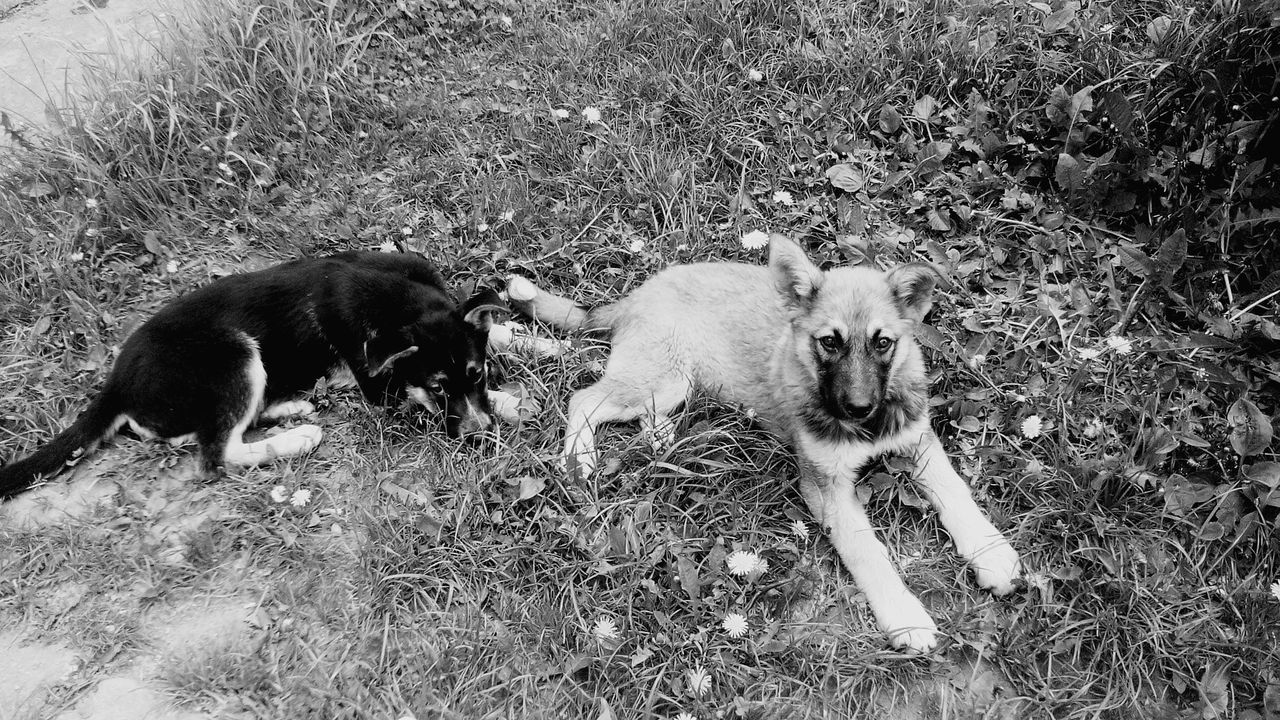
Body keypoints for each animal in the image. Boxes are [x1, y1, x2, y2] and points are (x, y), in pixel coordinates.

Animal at [0, 249, 506, 497]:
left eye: (478, 375)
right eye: (438, 389)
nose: (481, 437)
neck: (396, 300)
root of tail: (115, 383)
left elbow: (500, 330)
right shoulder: (379, 384)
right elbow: (409, 393)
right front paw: (510, 402)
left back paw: (291, 407)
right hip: (235, 355)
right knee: (218, 454)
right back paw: (298, 437)